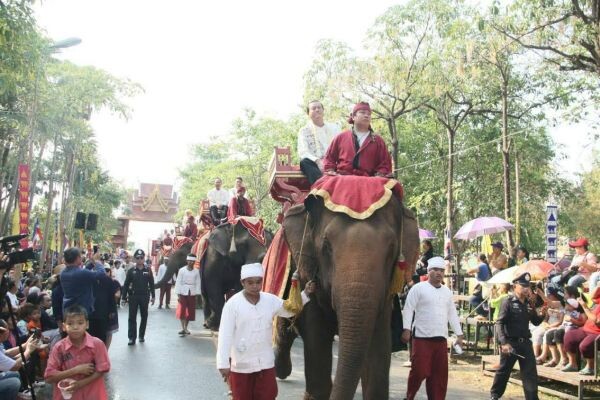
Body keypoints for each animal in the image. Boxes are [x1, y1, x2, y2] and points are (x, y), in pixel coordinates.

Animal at [276, 195, 420, 398]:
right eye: (326, 246)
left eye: (392, 248)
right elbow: (316, 338)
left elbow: (378, 349)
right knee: (284, 328)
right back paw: (281, 369)